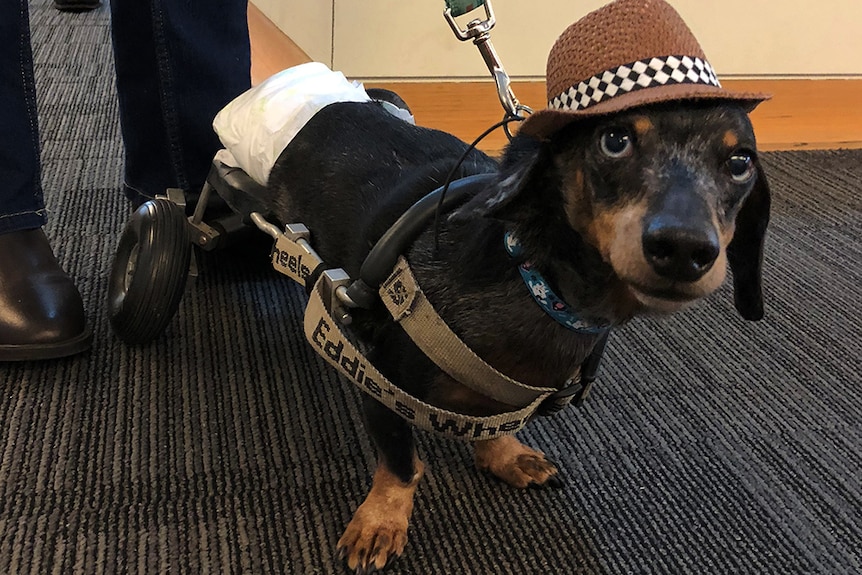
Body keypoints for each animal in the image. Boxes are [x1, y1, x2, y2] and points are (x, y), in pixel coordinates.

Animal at [250, 2, 768, 572]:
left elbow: (497, 429)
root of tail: (333, 106)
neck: (533, 283)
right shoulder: (378, 377)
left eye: (740, 162)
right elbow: (400, 463)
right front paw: (381, 521)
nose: (683, 248)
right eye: (614, 140)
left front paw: (506, 457)